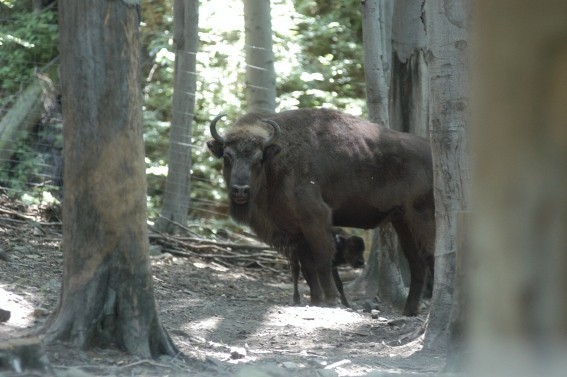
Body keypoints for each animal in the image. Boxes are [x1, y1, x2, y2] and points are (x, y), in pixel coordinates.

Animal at [209, 106, 434, 314]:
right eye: (227, 157)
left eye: (258, 159)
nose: (240, 190)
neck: (276, 160)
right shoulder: (297, 231)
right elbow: (308, 267)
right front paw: (316, 299)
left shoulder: (316, 220)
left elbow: (323, 260)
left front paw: (331, 299)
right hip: (402, 221)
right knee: (417, 263)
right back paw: (409, 311)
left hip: (422, 217)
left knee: (431, 256)